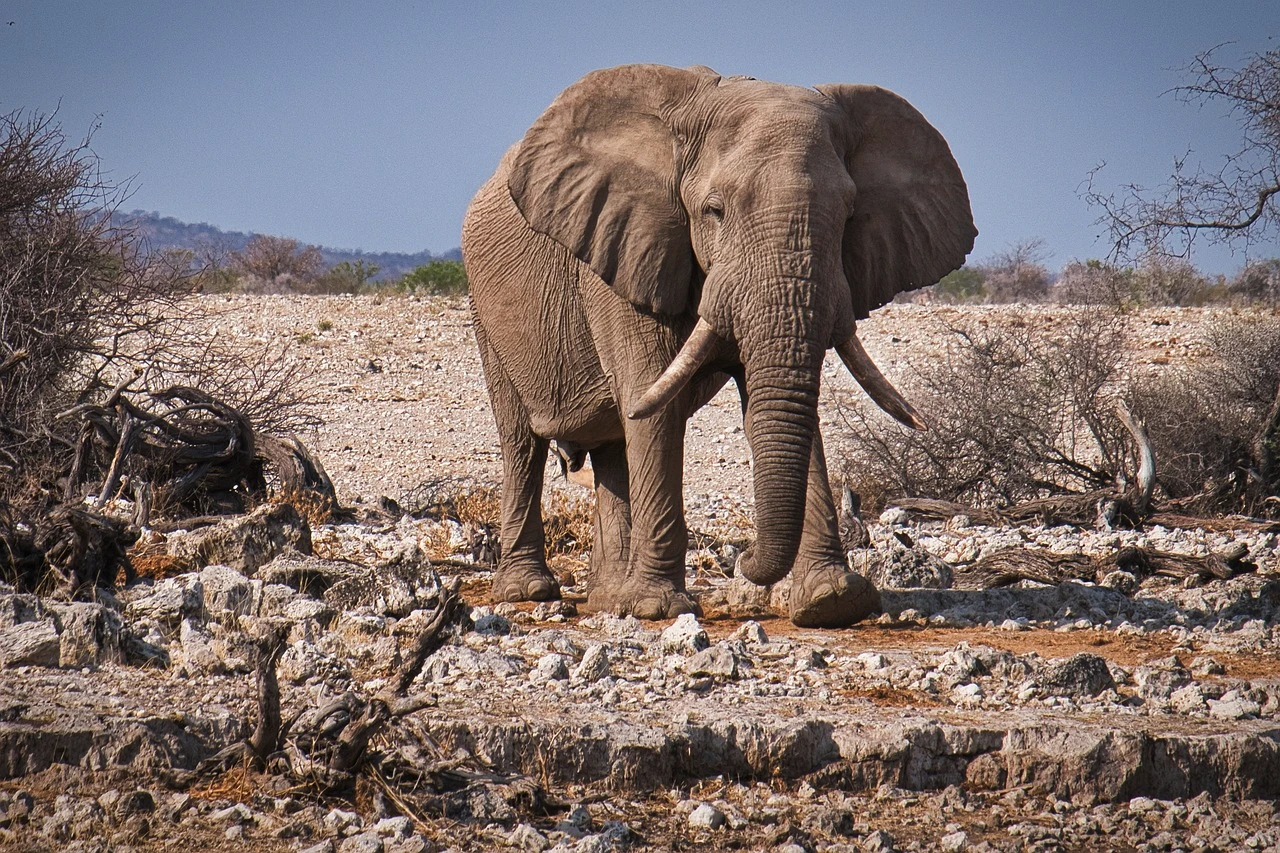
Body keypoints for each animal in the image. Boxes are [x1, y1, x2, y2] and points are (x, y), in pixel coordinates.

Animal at [465, 63, 972, 625]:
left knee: (614, 446)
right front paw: (658, 608)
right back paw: (529, 592)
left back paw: (607, 598)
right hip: (485, 309)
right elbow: (652, 401)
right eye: (714, 211)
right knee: (522, 442)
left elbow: (777, 403)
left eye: (848, 216)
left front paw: (834, 601)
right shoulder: (625, 250)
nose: (745, 562)